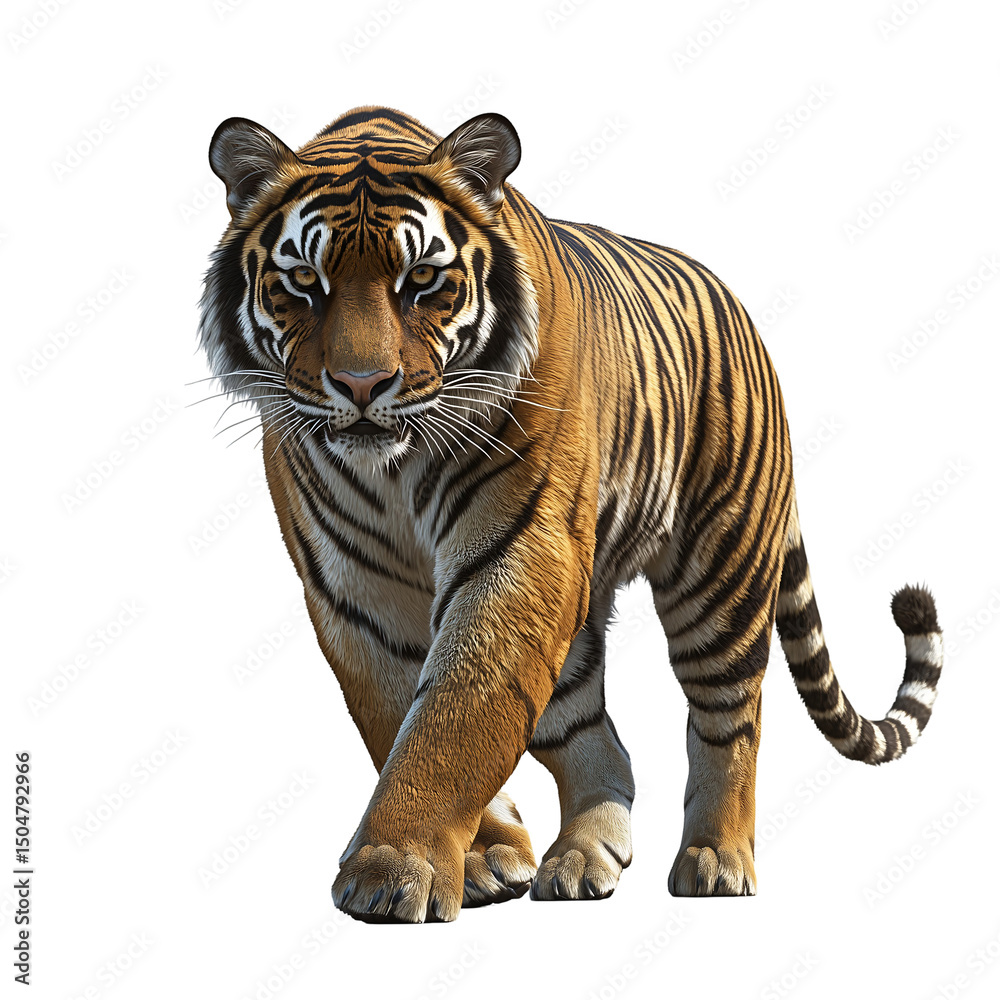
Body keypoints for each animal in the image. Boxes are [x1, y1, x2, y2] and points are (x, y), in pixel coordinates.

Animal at [198, 105, 944, 923]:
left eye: (421, 279)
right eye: (303, 280)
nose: (363, 385)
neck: (392, 469)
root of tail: (737, 308)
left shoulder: (519, 551)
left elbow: (456, 712)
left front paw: (394, 869)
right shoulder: (355, 587)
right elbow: (402, 712)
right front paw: (483, 858)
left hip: (721, 575)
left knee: (729, 718)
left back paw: (715, 861)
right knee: (597, 736)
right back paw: (584, 856)